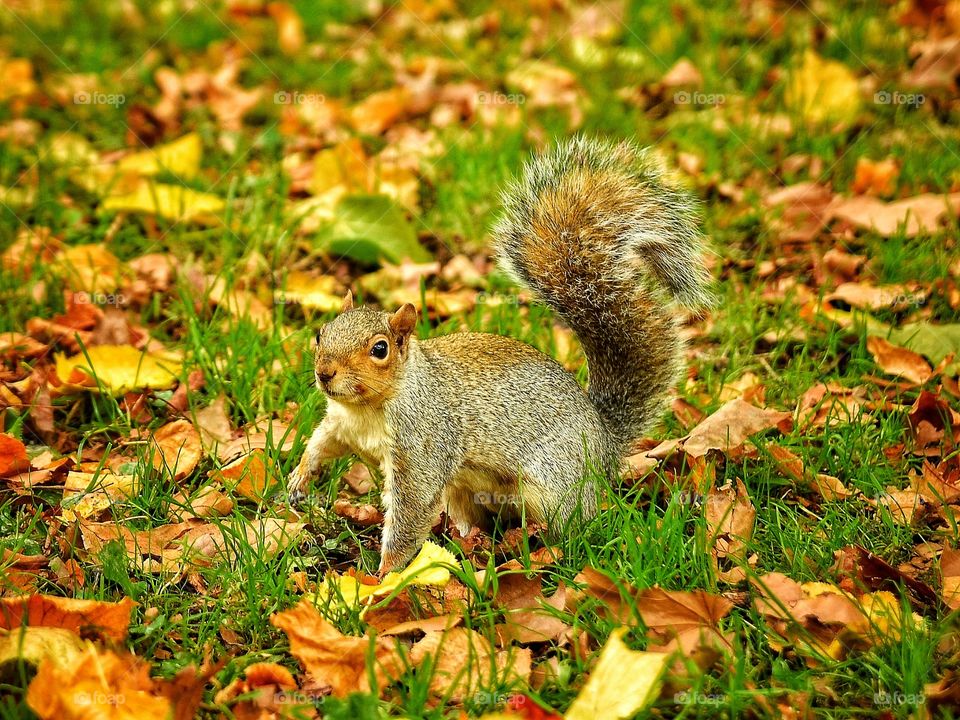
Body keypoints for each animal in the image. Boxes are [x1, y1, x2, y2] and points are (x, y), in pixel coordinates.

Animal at [287, 136, 713, 573]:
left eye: (379, 349)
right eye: (321, 333)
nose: (324, 373)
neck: (368, 408)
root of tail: (604, 441)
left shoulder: (421, 444)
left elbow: (411, 509)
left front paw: (386, 575)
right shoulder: (341, 424)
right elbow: (321, 443)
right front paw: (299, 479)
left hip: (556, 485)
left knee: (576, 526)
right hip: (462, 492)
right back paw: (467, 542)